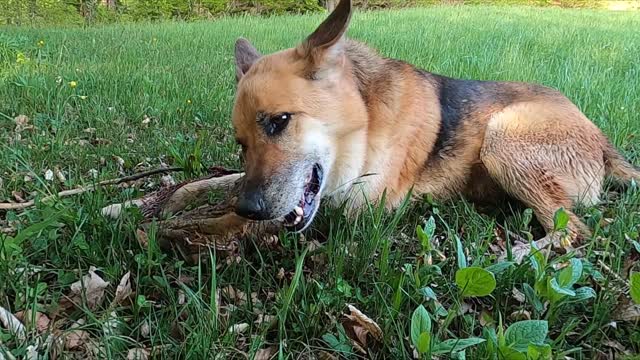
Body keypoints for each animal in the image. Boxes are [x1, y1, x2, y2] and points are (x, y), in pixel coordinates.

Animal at [230, 0, 640, 249]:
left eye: (280, 121)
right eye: (240, 143)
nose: (248, 207)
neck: (366, 120)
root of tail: (602, 140)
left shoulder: (357, 211)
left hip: (502, 138)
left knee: (571, 232)